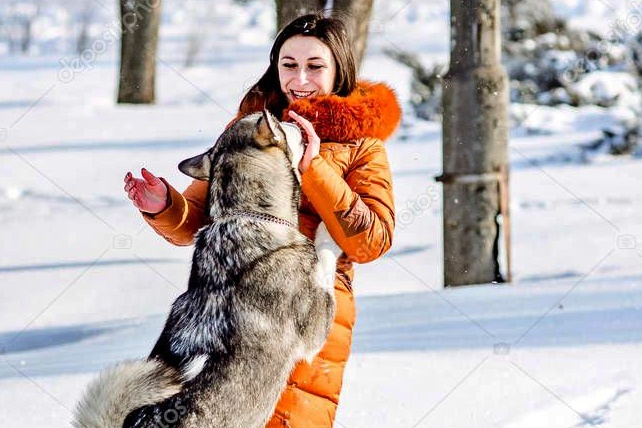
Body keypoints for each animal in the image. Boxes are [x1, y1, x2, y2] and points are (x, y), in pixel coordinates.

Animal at [72, 110, 338, 428]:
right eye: (280, 123)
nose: (295, 119)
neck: (245, 214)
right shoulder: (315, 329)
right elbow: (324, 257)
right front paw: (329, 234)